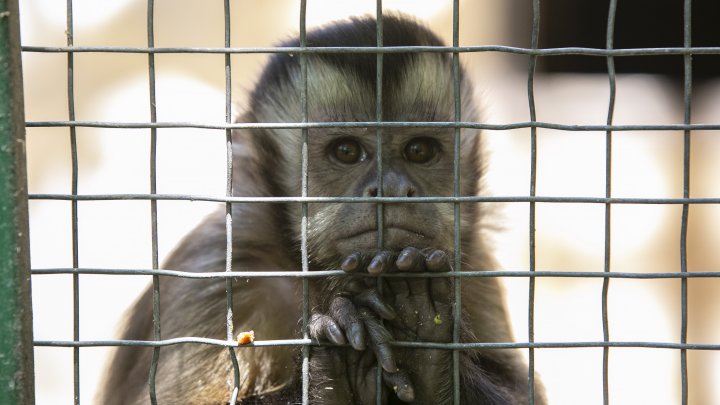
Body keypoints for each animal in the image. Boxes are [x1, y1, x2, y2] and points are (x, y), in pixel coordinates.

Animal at [97, 13, 544, 404]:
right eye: (346, 151)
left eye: (420, 150)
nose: (391, 188)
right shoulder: (212, 274)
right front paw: (332, 361)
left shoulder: (469, 260)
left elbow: (524, 392)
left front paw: (424, 336)